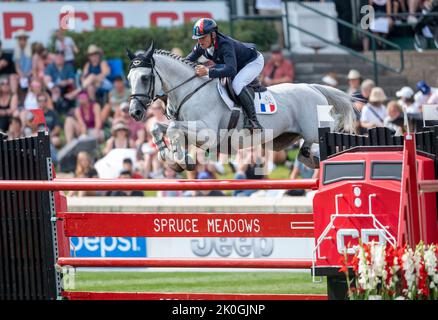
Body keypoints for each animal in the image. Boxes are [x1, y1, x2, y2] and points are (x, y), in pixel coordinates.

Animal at [126, 43, 356, 172]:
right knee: (303, 151)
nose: (134, 112)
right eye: (129, 77)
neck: (189, 91)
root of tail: (312, 86)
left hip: (315, 129)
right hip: (285, 139)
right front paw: (169, 157)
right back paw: (311, 159)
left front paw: (181, 159)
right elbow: (158, 127)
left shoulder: (208, 133)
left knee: (330, 135)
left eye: (145, 78)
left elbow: (173, 129)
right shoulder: (186, 125)